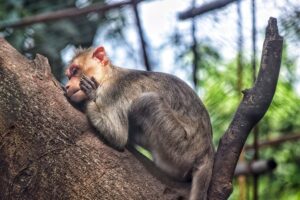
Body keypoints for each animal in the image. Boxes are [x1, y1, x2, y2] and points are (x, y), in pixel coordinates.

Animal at [64, 46, 214, 199]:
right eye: (69, 76)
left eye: (75, 71)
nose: (67, 86)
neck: (108, 76)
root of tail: (207, 153)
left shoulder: (111, 92)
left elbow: (117, 136)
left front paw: (90, 95)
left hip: (181, 149)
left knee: (147, 102)